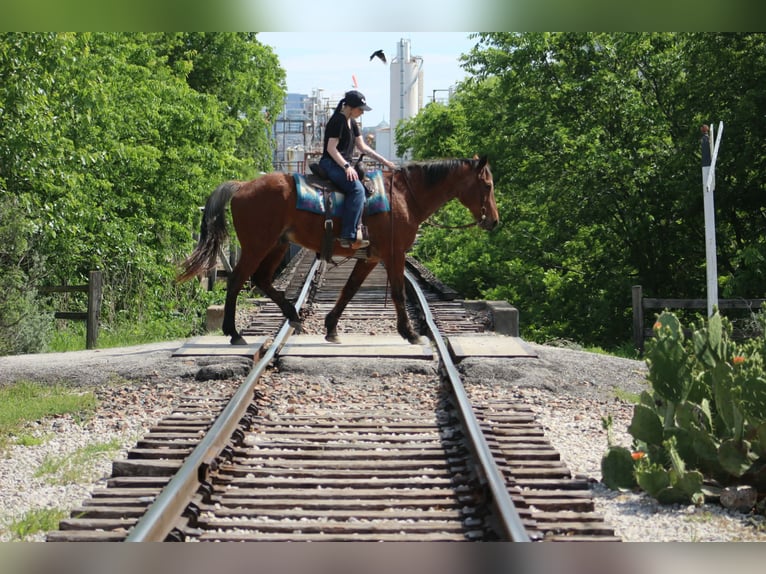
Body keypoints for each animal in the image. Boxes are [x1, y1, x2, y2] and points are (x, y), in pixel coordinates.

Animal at [177, 156, 499, 345]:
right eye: (487, 184)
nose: (494, 221)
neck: (404, 196)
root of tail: (243, 185)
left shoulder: (372, 257)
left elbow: (349, 289)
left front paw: (331, 327)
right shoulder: (394, 254)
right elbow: (397, 292)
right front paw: (410, 333)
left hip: (278, 245)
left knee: (261, 280)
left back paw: (292, 315)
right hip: (257, 245)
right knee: (236, 281)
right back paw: (234, 332)